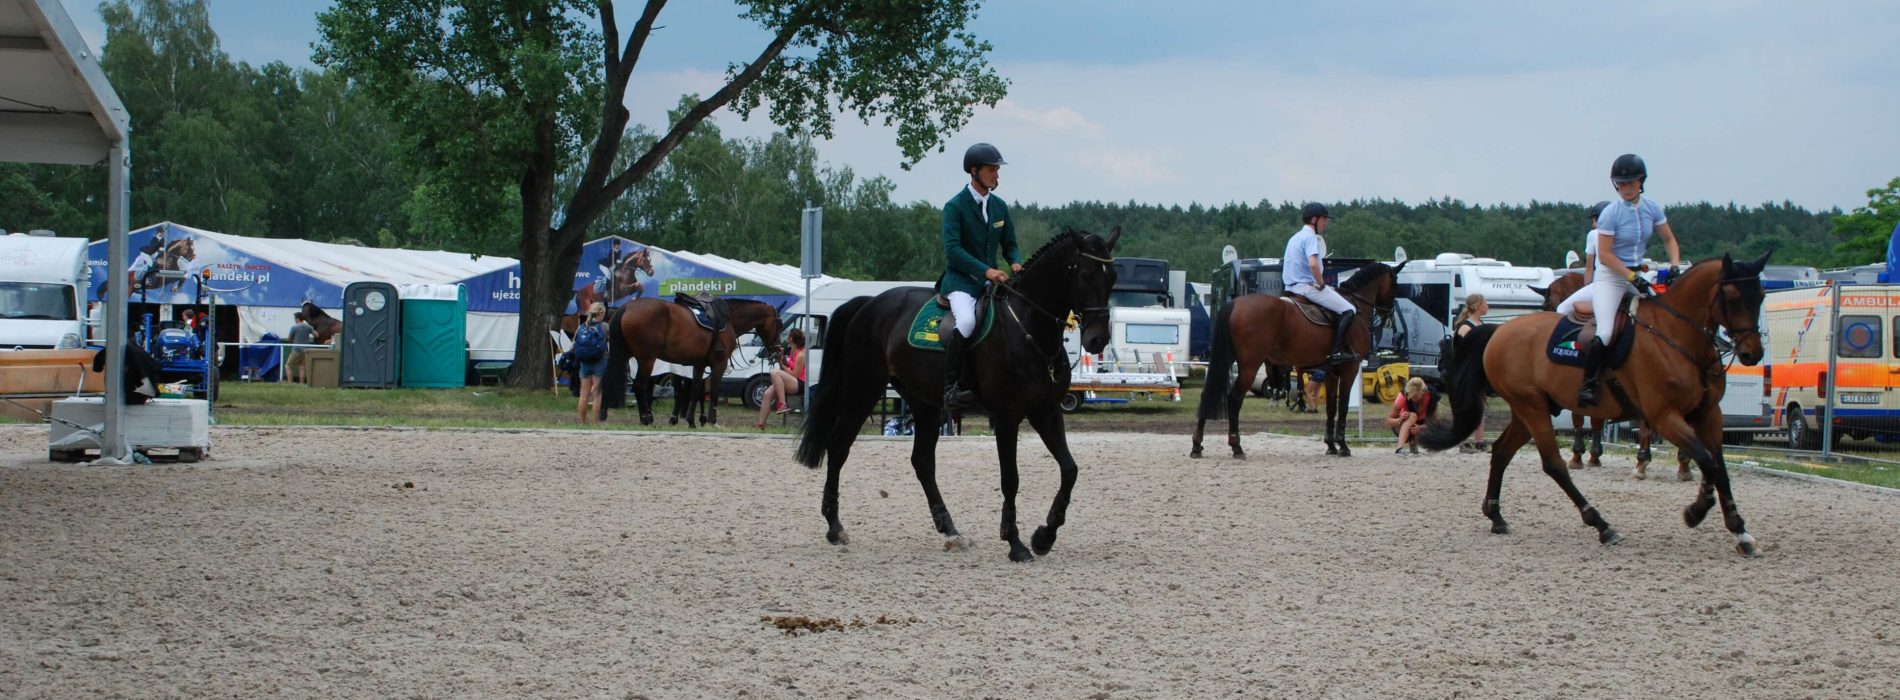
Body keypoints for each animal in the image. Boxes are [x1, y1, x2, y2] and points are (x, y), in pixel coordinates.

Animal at [608, 294, 786, 426]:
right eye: (780, 324)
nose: (778, 350)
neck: (728, 318)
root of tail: (627, 306)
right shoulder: (719, 364)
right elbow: (714, 390)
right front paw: (712, 420)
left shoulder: (699, 364)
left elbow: (696, 390)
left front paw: (691, 420)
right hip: (647, 359)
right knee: (640, 385)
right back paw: (645, 418)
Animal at [794, 230, 1117, 563]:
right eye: (1086, 275)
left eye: (1113, 278)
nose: (1097, 340)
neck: (1028, 327)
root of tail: (869, 304)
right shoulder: (1007, 417)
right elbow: (1010, 478)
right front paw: (1015, 543)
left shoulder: (1046, 410)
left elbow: (1070, 469)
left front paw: (1044, 537)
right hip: (863, 387)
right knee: (838, 446)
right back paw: (835, 528)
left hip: (923, 402)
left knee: (922, 461)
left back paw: (950, 530)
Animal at [1185, 262, 1413, 460]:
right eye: (1395, 285)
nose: (1388, 316)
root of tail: (1236, 302)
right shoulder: (1350, 369)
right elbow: (1343, 406)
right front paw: (1343, 446)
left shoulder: (1331, 372)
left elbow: (1331, 406)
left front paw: (1331, 445)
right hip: (1250, 365)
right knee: (1234, 399)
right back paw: (1236, 446)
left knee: (1208, 395)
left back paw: (1197, 445)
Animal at [1428, 254, 1778, 555]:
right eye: (1732, 296)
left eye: (1761, 295)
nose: (1751, 354)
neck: (1677, 337)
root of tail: (1500, 330)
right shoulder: (1663, 416)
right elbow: (1707, 460)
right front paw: (1696, 510)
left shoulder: (1708, 415)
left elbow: (1717, 466)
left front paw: (1740, 532)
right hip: (1532, 408)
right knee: (1553, 464)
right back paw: (1601, 524)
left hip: (1528, 410)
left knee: (1501, 452)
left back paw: (1496, 517)